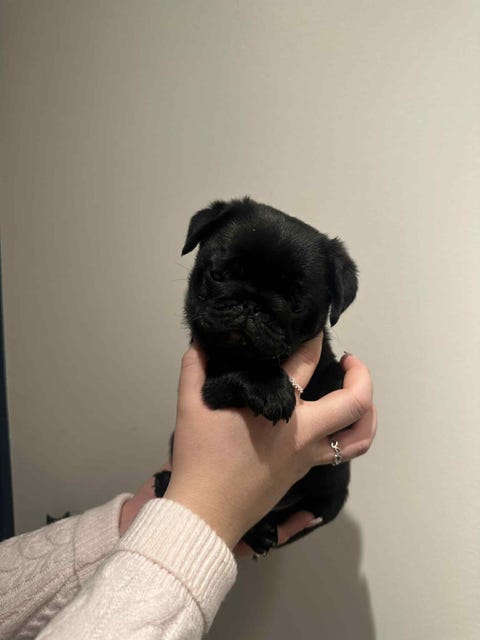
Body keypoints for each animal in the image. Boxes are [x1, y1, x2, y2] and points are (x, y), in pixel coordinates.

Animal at [155, 197, 358, 555]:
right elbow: (242, 371)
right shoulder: (210, 385)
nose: (251, 305)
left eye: (296, 304)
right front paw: (270, 387)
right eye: (218, 274)